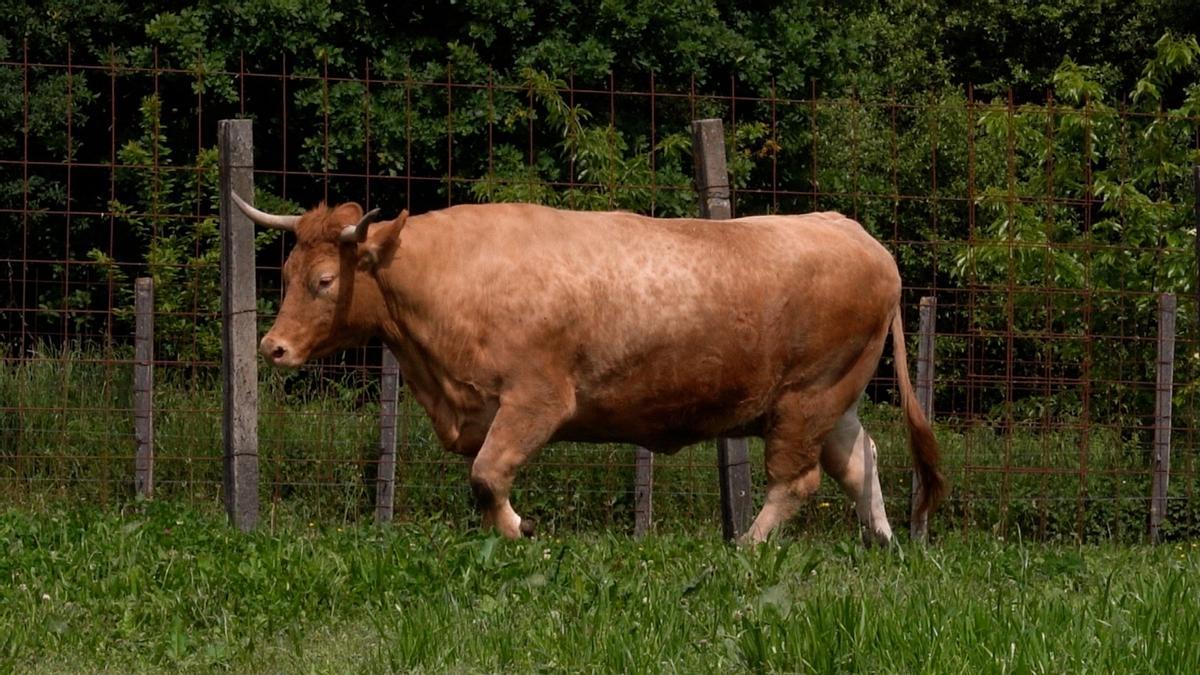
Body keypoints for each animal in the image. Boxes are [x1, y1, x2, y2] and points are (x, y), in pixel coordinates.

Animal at [231, 192, 945, 544]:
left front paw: (520, 531)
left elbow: (487, 475)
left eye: (325, 281)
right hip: (832, 401)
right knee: (861, 461)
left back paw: (747, 546)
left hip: (805, 399)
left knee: (797, 482)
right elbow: (481, 478)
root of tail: (854, 233)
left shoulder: (535, 399)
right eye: (287, 272)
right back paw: (884, 543)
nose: (273, 347)